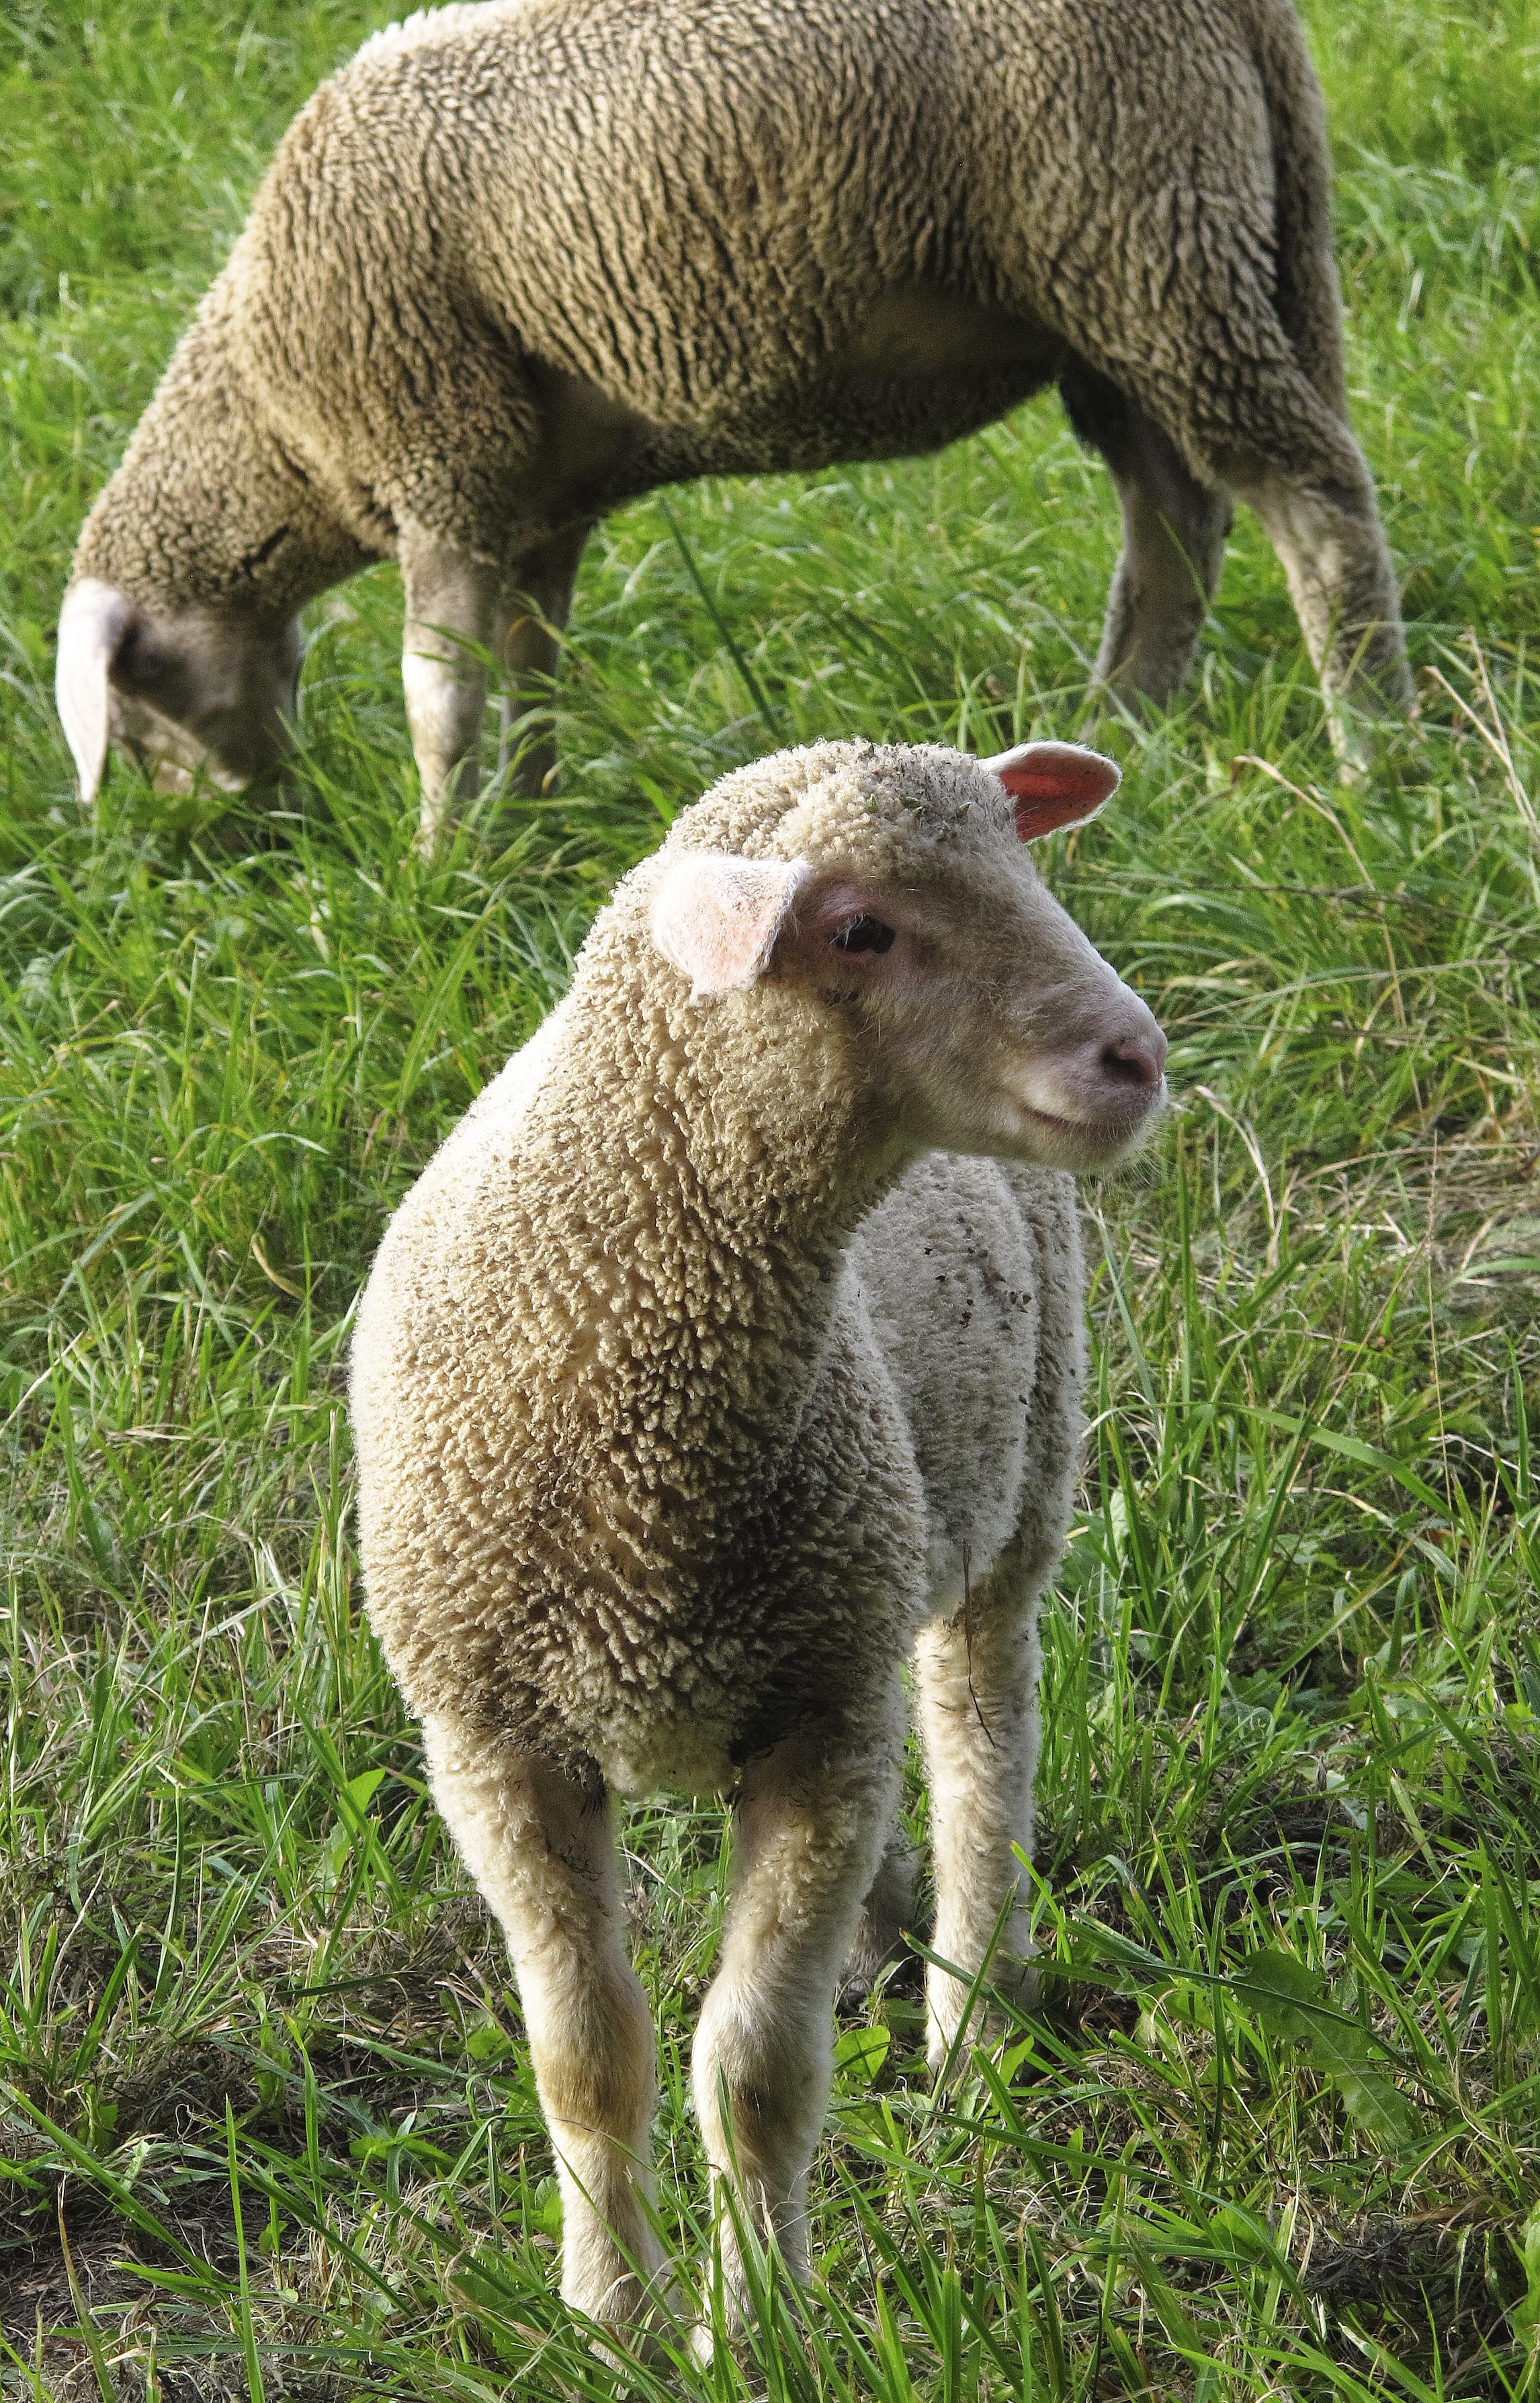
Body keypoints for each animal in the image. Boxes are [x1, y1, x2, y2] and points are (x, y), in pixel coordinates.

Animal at [57, 0, 1411, 840]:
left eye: (135, 702)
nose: (251, 832)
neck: (268, 419)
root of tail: (1252, 22)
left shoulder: (442, 454)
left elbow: (438, 698)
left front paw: (438, 857)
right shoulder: (536, 500)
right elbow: (534, 668)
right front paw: (531, 825)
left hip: (1143, 232)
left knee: (1309, 503)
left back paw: (1371, 753)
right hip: (1140, 286)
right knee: (1174, 522)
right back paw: (1114, 734)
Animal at [348, 734, 1168, 2341]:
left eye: (1022, 860)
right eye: (857, 930)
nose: (1136, 1057)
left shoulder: (818, 1718)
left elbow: (753, 2068)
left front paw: (760, 2320)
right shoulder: (493, 1743)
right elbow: (586, 2059)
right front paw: (608, 2314)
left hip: (1014, 1484)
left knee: (981, 1737)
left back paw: (971, 2017)